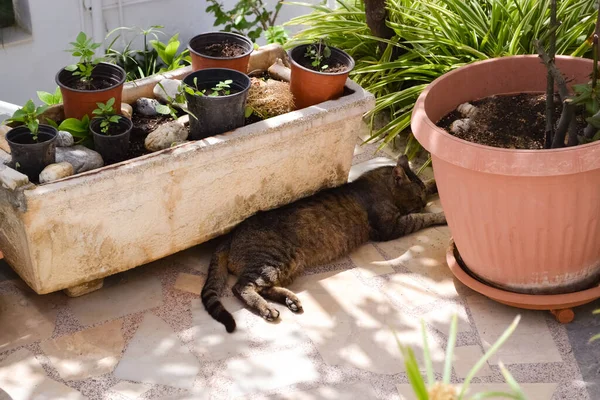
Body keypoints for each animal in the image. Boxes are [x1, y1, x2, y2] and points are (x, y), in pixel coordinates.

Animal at [202, 155, 446, 332]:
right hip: (272, 261)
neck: (377, 184)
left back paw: (290, 300)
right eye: (418, 198)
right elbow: (421, 219)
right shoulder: (390, 227)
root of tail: (230, 236)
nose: (424, 203)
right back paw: (267, 309)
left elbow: (431, 184)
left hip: (287, 265)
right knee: (241, 287)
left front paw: (436, 185)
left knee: (263, 287)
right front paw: (441, 215)